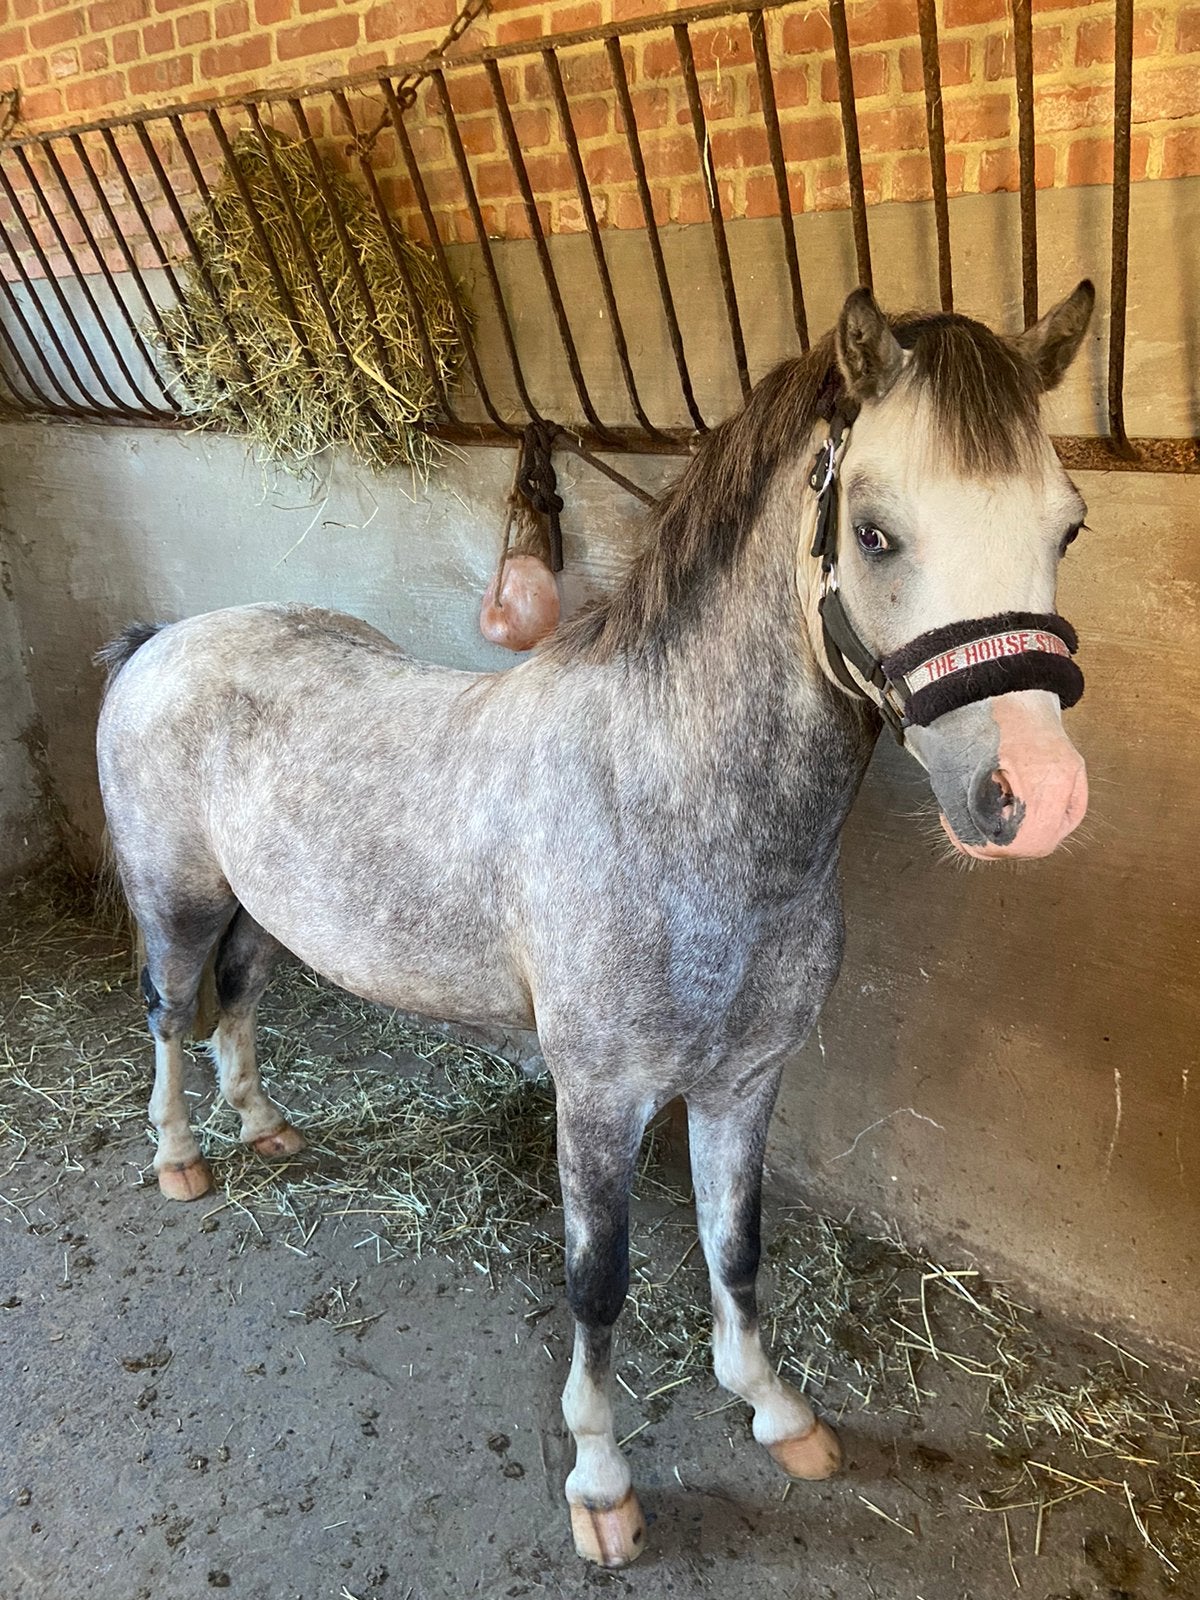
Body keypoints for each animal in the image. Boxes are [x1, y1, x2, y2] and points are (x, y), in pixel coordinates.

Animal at [96, 282, 1095, 1568]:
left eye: (1065, 527)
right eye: (874, 532)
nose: (1038, 795)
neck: (675, 803)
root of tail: (160, 641)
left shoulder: (743, 1082)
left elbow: (736, 1246)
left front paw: (777, 1412)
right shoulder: (601, 1095)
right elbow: (599, 1282)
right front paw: (602, 1486)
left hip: (269, 915)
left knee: (241, 998)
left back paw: (265, 1126)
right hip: (173, 901)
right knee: (172, 1012)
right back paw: (180, 1157)